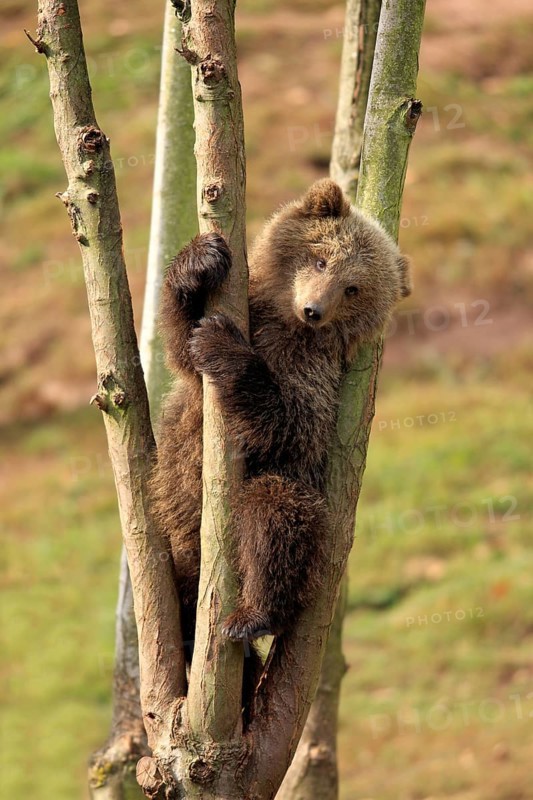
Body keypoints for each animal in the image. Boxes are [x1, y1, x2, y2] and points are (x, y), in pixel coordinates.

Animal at [151, 178, 411, 648]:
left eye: (353, 288)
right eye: (321, 257)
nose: (313, 310)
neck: (285, 325)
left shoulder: (318, 376)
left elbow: (291, 426)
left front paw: (222, 344)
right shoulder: (250, 320)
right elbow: (183, 349)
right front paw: (200, 261)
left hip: (287, 497)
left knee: (274, 514)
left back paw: (253, 615)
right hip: (177, 518)